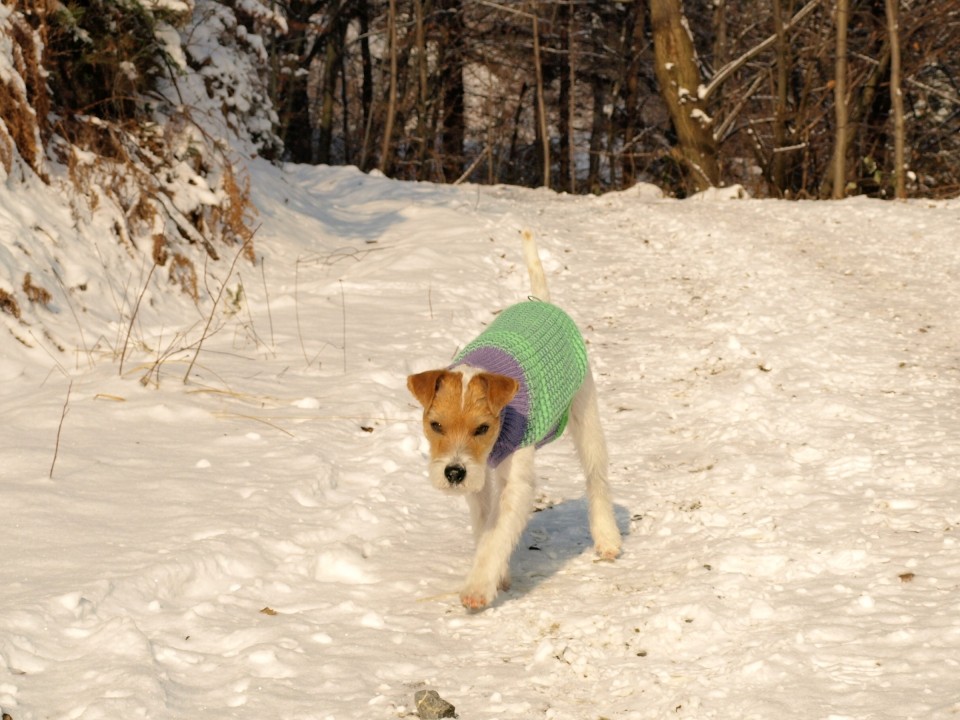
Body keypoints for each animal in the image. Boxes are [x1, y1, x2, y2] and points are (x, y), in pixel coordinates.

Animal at [406, 229, 624, 608]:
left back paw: (608, 539)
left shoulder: (514, 482)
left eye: (482, 428)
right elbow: (484, 526)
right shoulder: (478, 479)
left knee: (596, 478)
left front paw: (478, 588)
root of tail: (542, 301)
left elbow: (496, 534)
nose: (454, 473)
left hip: (586, 416)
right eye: (435, 425)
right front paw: (499, 576)